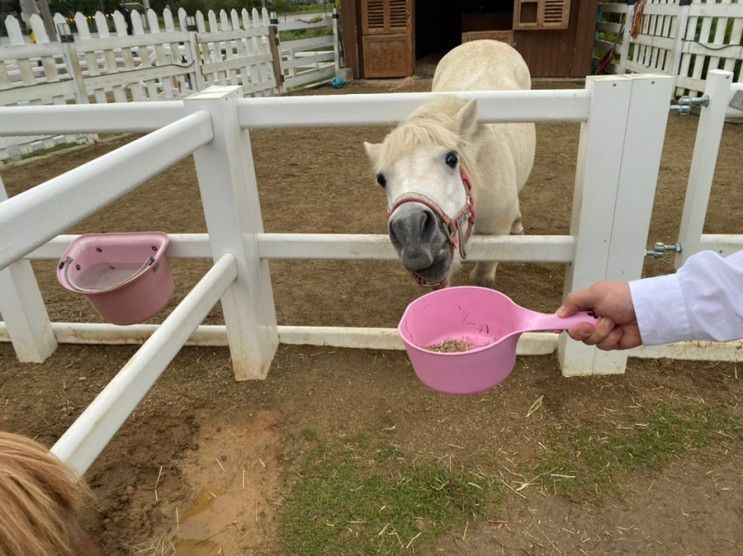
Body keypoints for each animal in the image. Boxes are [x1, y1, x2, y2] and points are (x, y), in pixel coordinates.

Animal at [364, 40, 536, 286]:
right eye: (381, 179)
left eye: (452, 159)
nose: (411, 231)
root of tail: (485, 41)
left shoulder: (496, 236)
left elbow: (481, 279)